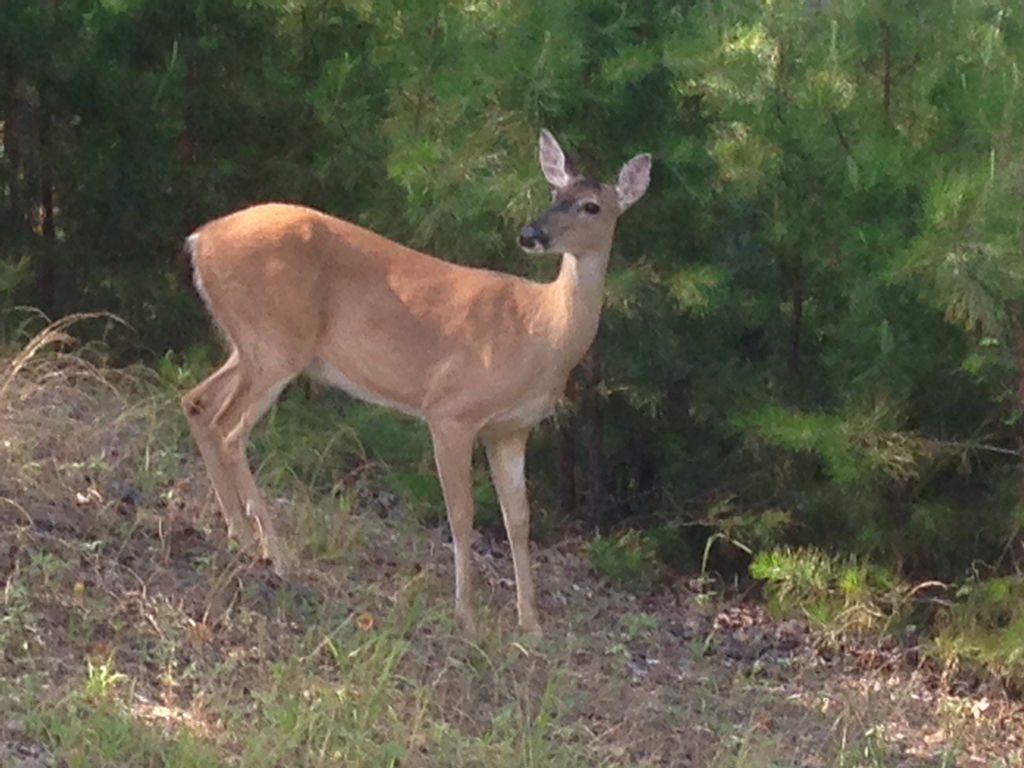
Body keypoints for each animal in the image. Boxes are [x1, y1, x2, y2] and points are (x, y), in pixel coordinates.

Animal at [180, 130, 651, 637]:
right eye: (553, 194)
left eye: (590, 206)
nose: (531, 235)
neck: (541, 332)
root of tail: (200, 239)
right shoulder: (450, 409)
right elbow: (462, 514)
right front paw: (467, 615)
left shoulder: (511, 429)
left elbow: (518, 520)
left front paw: (531, 626)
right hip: (276, 342)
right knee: (230, 429)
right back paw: (277, 555)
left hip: (250, 344)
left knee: (197, 403)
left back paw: (241, 536)